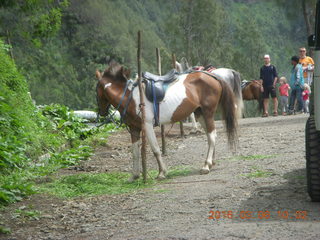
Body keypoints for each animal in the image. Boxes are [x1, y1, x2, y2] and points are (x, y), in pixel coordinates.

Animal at [96, 62, 239, 181]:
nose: (102, 112)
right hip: (200, 114)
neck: (130, 97)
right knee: (211, 136)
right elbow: (135, 152)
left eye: (96, 89)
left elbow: (155, 149)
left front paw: (161, 173)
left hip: (208, 113)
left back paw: (206, 166)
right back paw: (211, 162)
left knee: (211, 136)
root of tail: (213, 76)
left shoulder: (147, 125)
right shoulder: (134, 128)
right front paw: (134, 176)